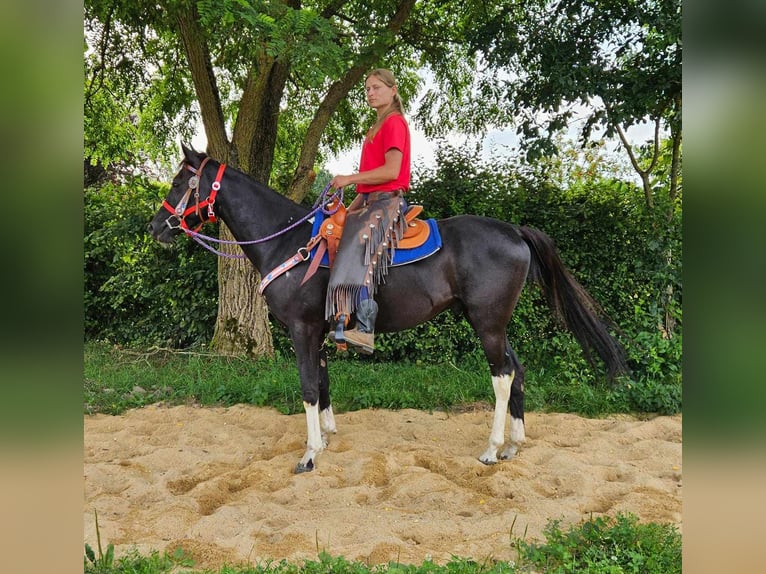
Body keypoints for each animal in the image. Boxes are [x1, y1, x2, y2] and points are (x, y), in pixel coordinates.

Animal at [147, 146, 628, 474]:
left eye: (179, 182)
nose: (155, 227)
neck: (287, 242)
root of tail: (514, 230)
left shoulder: (301, 330)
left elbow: (307, 387)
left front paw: (309, 453)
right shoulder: (319, 332)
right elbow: (323, 382)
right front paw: (327, 436)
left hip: (487, 323)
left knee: (502, 376)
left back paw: (492, 449)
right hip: (493, 323)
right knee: (518, 370)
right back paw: (513, 445)